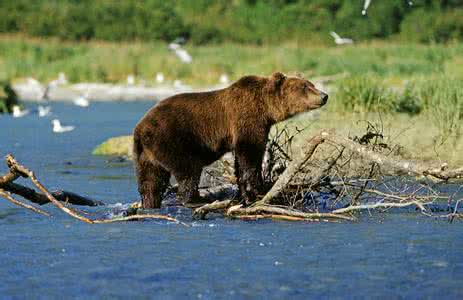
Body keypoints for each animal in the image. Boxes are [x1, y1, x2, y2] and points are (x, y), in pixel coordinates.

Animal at [134, 72, 328, 209]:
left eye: (311, 84)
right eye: (305, 86)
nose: (324, 95)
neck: (266, 109)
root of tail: (140, 128)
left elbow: (241, 161)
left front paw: (247, 192)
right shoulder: (247, 119)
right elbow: (249, 154)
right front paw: (256, 191)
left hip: (147, 154)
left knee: (151, 180)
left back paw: (150, 203)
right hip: (172, 138)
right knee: (188, 169)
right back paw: (195, 199)